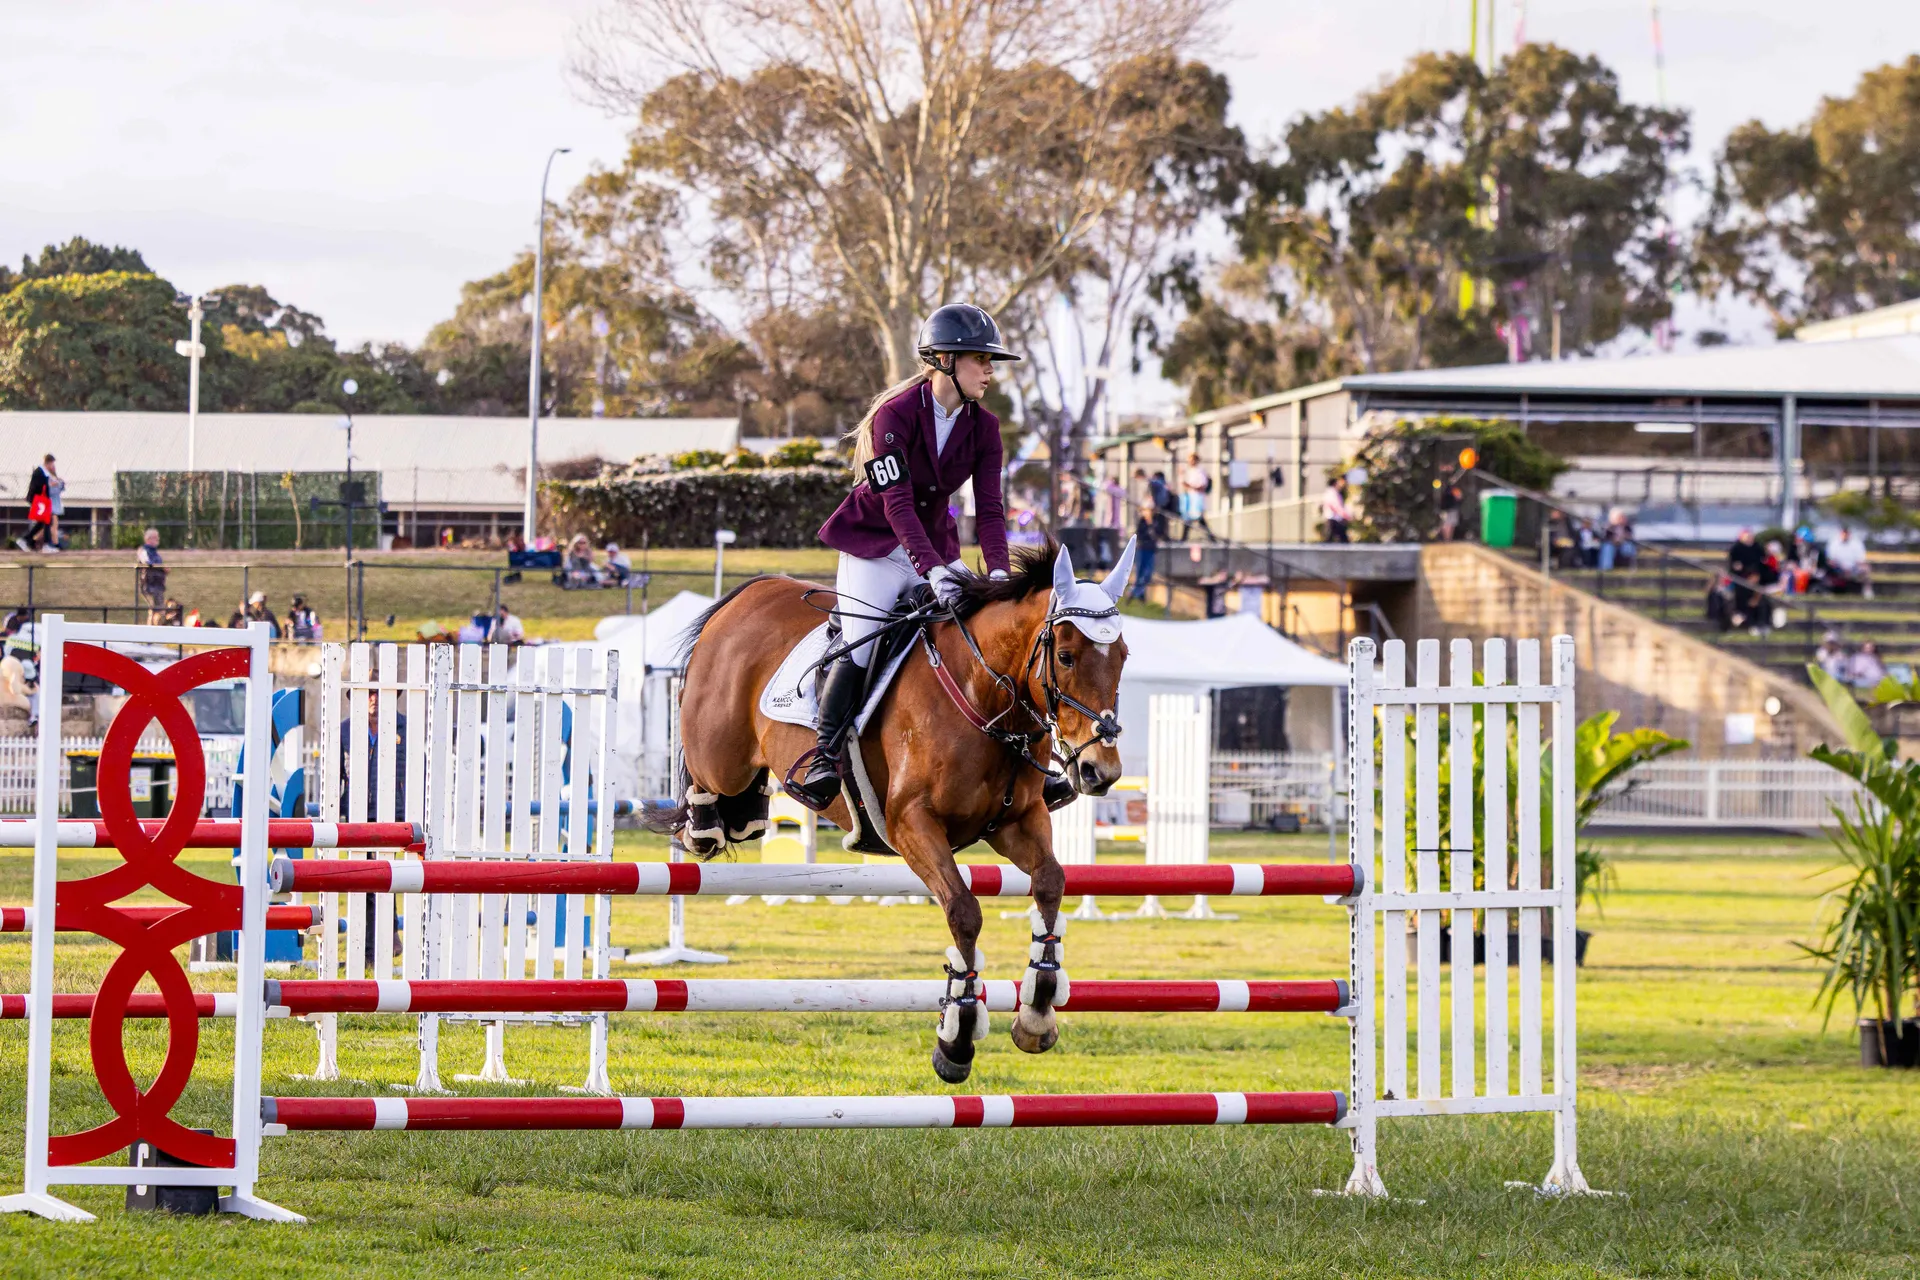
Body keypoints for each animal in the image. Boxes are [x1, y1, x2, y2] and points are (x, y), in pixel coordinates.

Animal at [657, 538, 1133, 1083]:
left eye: (1123, 657)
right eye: (1067, 657)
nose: (1100, 771)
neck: (984, 694)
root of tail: (749, 593)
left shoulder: (1017, 820)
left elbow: (1051, 882)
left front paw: (1037, 1010)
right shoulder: (912, 825)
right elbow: (963, 911)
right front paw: (957, 1037)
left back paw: (747, 814)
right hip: (721, 759)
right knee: (704, 785)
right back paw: (705, 824)